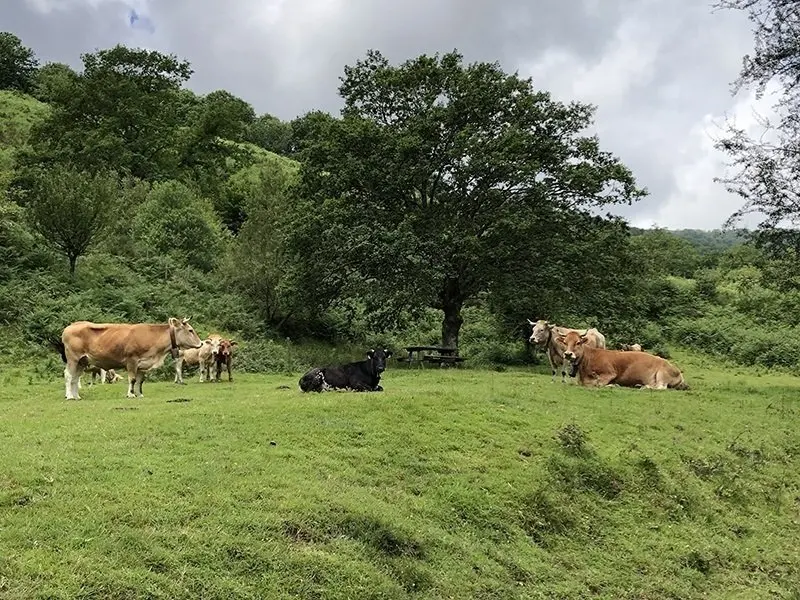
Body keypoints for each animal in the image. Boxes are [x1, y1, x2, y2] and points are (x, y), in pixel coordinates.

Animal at [58, 317, 203, 399]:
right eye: (190, 330)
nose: (201, 343)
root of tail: (70, 326)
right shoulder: (131, 360)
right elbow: (132, 379)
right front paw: (131, 394)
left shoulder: (143, 364)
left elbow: (140, 381)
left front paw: (140, 394)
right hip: (73, 358)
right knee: (69, 375)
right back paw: (69, 396)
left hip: (82, 361)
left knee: (76, 378)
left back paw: (76, 396)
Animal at [559, 330, 688, 390]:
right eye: (565, 342)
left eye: (578, 342)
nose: (568, 354)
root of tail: (678, 371)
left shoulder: (610, 373)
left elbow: (599, 383)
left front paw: (613, 385)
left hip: (662, 374)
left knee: (661, 387)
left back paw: (644, 387)